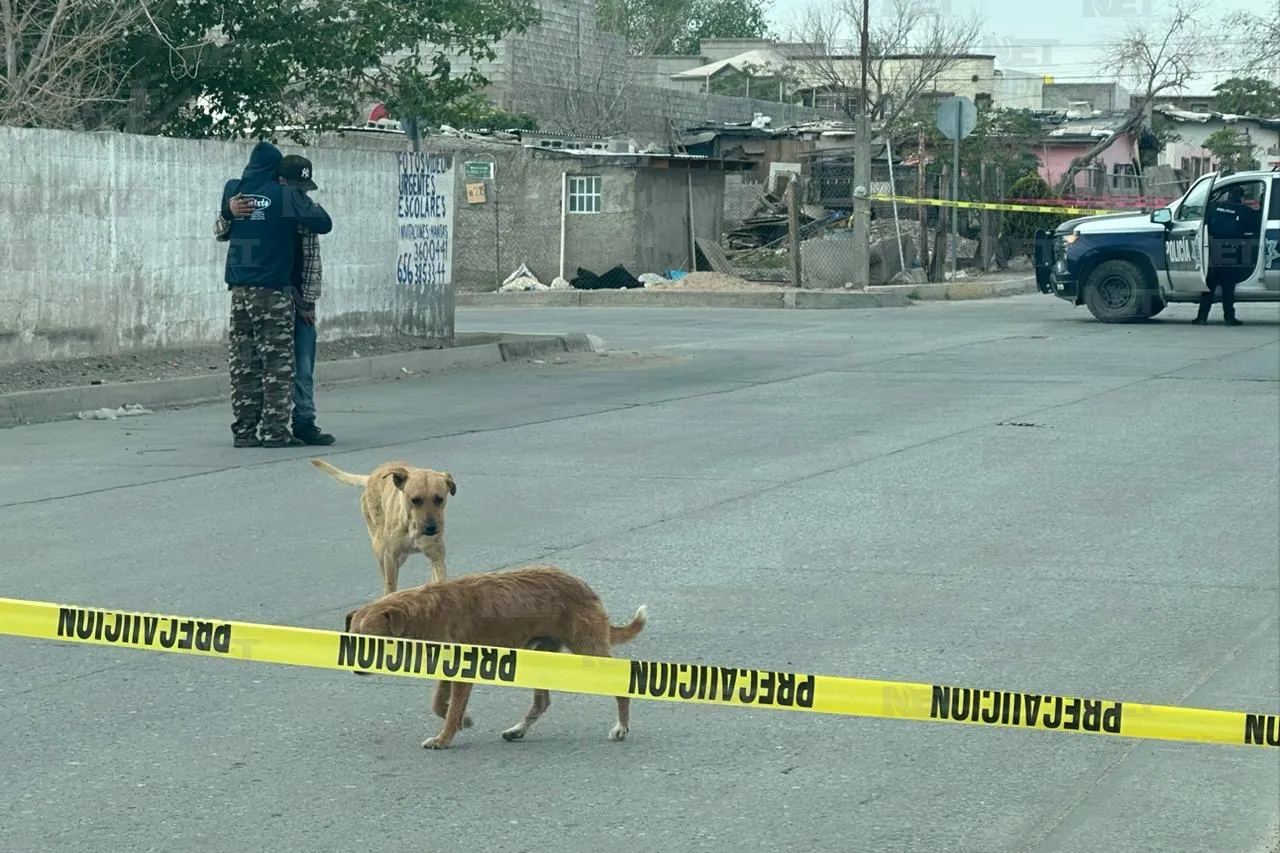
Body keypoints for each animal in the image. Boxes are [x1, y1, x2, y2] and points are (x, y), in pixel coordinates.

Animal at [313, 458, 455, 591]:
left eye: (439, 499)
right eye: (415, 500)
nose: (431, 528)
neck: (411, 527)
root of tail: (371, 476)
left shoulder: (436, 556)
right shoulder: (390, 557)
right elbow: (390, 586)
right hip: (380, 547)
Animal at [343, 560, 650, 747]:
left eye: (370, 637)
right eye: (351, 635)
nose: (354, 668)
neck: (424, 612)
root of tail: (584, 586)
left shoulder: (462, 668)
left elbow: (452, 708)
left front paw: (445, 737)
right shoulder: (444, 666)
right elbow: (439, 704)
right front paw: (463, 720)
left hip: (587, 648)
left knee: (619, 686)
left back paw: (621, 727)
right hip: (540, 652)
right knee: (542, 701)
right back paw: (518, 729)